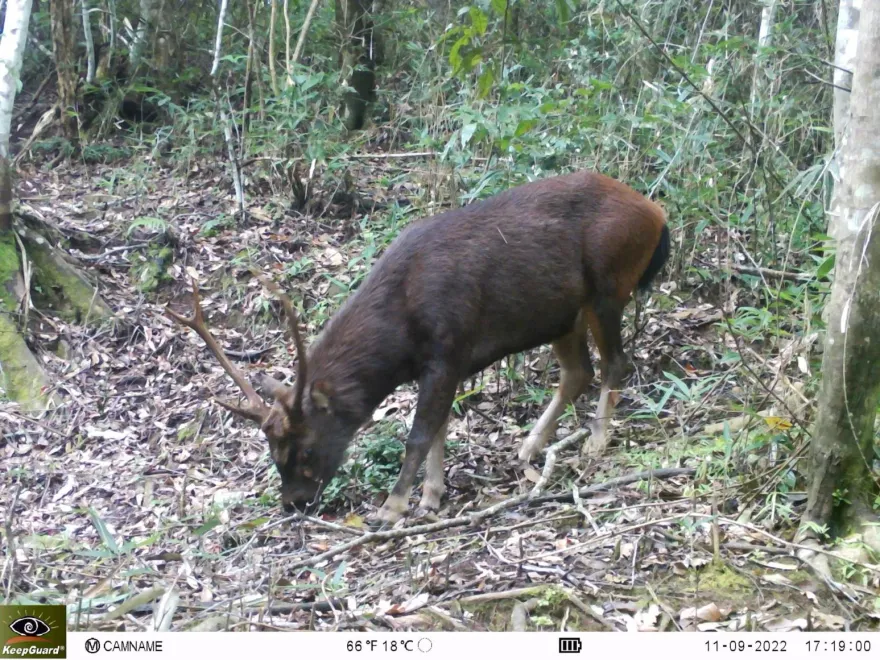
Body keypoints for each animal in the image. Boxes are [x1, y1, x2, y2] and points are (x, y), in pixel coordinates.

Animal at [168, 170, 672, 524]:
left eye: (306, 449)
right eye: (273, 453)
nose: (293, 502)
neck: (400, 337)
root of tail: (658, 215)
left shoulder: (448, 350)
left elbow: (418, 434)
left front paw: (392, 507)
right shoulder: (442, 364)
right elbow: (439, 429)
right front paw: (431, 495)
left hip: (610, 283)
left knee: (615, 363)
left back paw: (597, 441)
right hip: (562, 313)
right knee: (577, 372)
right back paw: (529, 447)